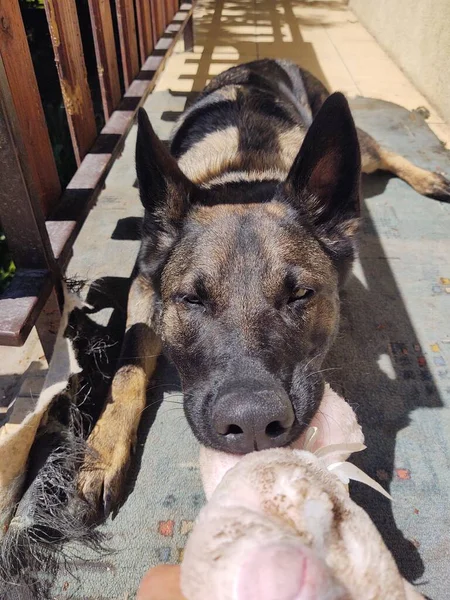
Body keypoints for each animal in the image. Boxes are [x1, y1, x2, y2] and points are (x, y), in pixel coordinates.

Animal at [79, 59, 450, 516]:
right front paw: (103, 452)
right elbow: (129, 364)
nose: (253, 424)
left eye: (300, 295)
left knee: (381, 152)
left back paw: (430, 178)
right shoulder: (143, 285)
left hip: (357, 148)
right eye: (192, 300)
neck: (243, 178)